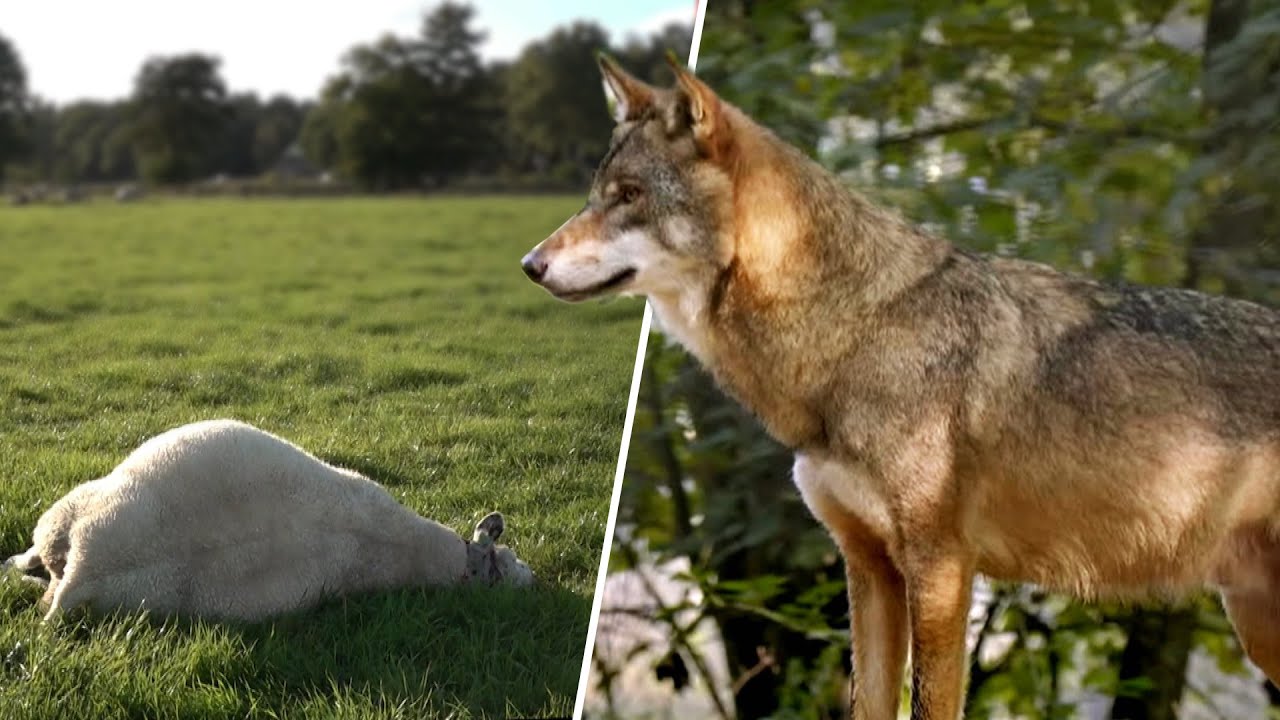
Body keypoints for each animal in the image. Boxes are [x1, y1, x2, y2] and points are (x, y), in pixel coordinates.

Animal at [521, 55, 1280, 719]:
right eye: (596, 194)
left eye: (629, 197)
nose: (529, 264)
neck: (852, 332)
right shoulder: (868, 569)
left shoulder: (940, 570)